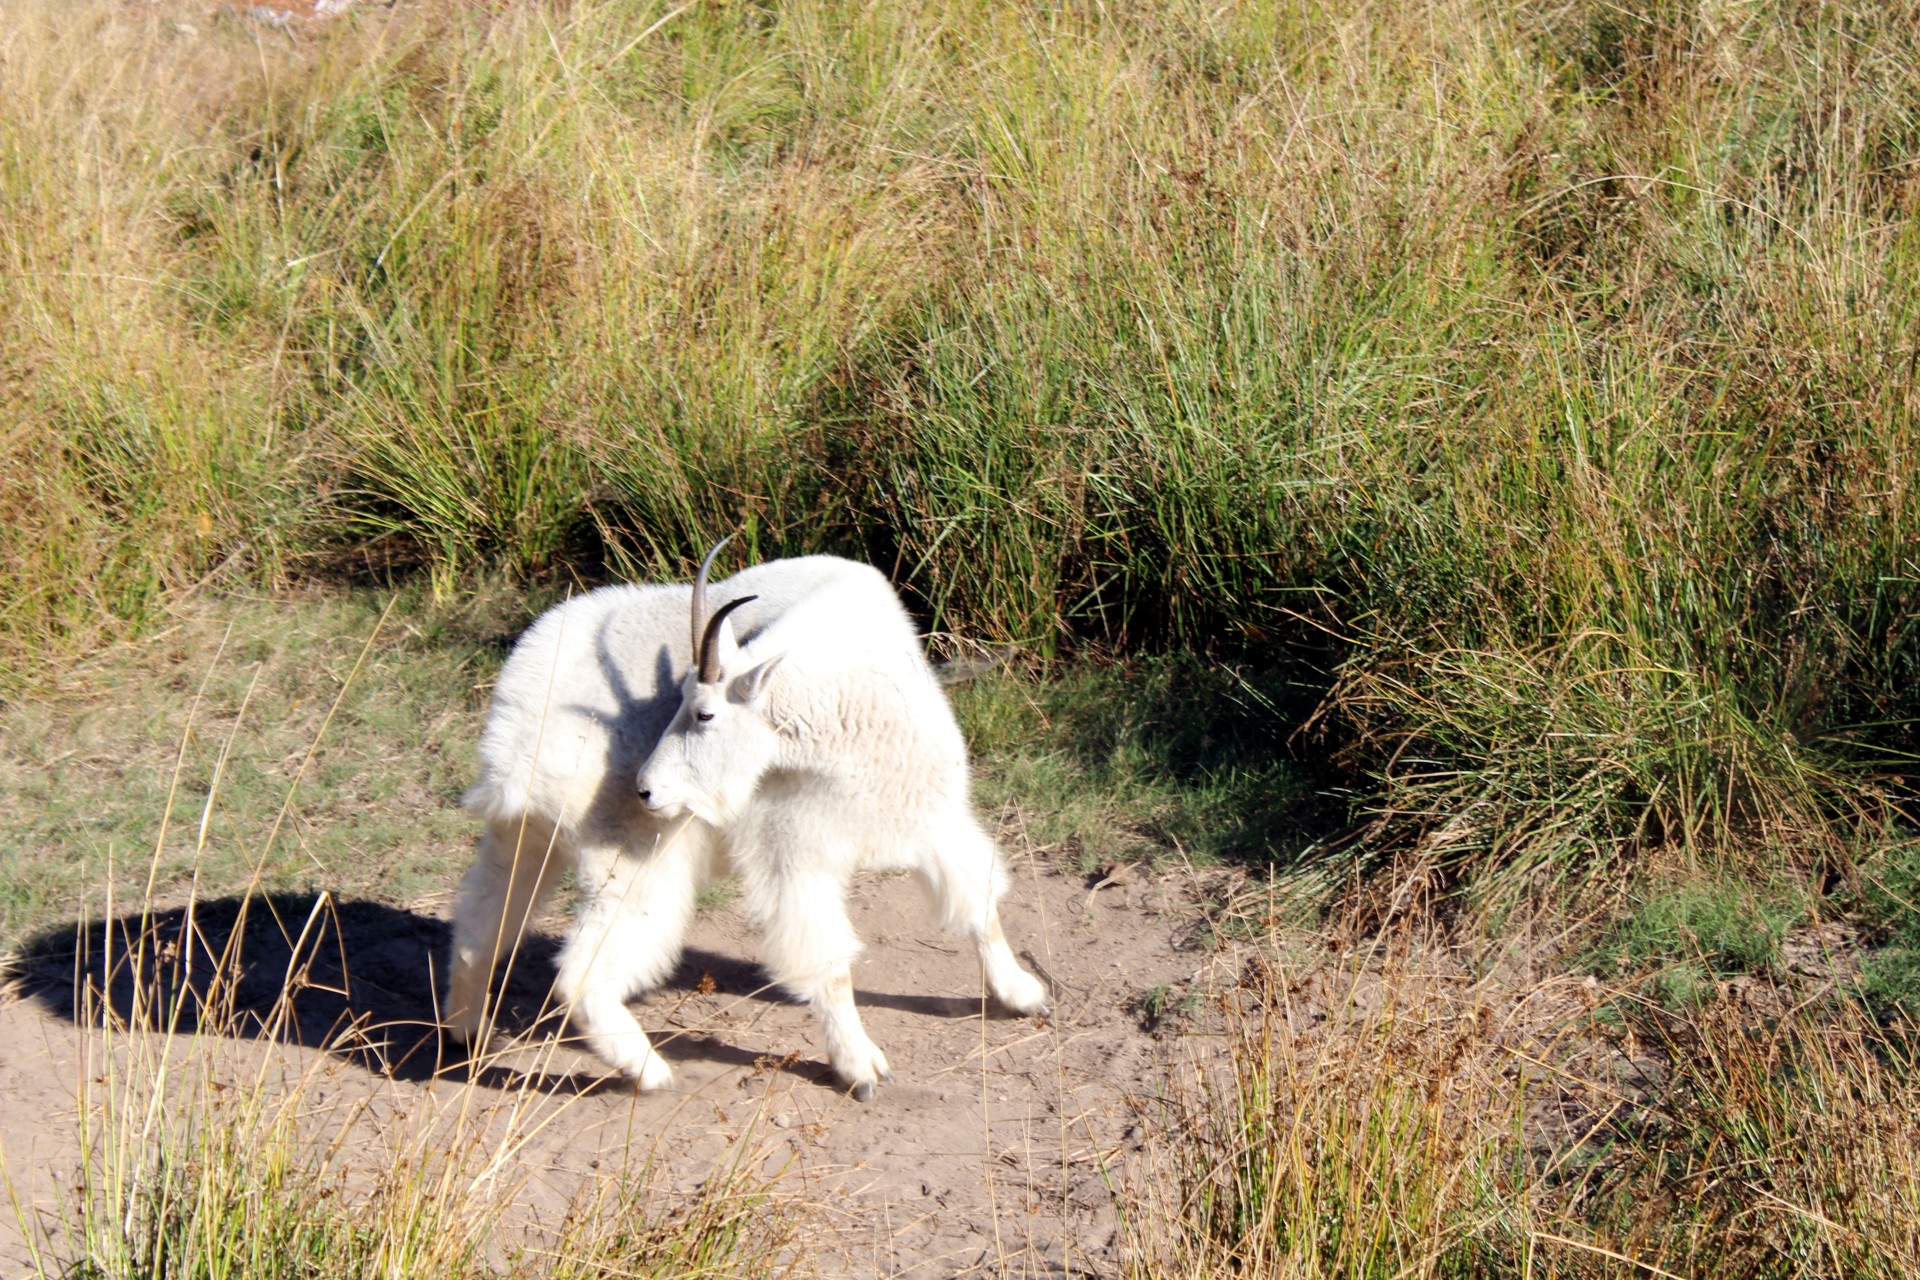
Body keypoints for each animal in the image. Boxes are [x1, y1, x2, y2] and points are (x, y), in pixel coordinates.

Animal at [443, 545, 1052, 1105]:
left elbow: (978, 904)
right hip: (633, 861)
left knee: (479, 926)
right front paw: (861, 1067)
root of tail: (518, 728)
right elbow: (827, 962)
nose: (646, 789)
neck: (842, 699)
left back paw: (467, 1034)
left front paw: (1022, 994)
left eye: (703, 713)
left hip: (524, 838)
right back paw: (650, 1073)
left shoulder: (929, 814)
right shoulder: (793, 850)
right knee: (578, 976)